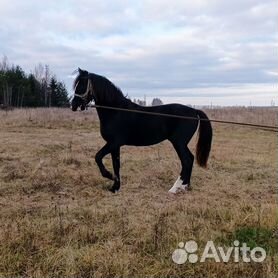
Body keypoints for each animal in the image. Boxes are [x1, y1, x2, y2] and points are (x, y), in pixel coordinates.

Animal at [71, 68, 213, 192]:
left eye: (81, 85)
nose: (73, 105)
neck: (116, 111)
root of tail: (194, 110)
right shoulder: (115, 146)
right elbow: (116, 164)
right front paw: (115, 187)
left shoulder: (113, 143)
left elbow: (98, 157)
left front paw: (109, 176)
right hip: (181, 144)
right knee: (190, 159)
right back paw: (185, 186)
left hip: (179, 143)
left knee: (187, 160)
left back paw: (175, 188)